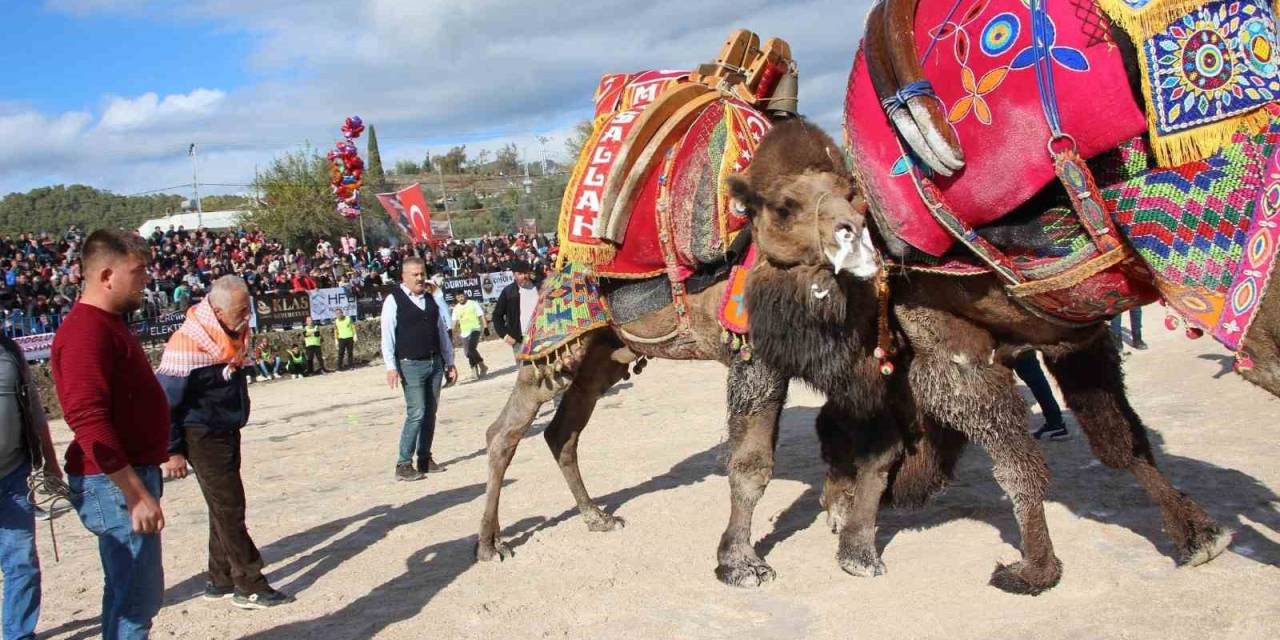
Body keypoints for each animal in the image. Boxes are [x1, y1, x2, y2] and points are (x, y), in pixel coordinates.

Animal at [732, 116, 1239, 593]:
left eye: (851, 197)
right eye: (784, 207)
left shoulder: (1009, 348)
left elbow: (1089, 448)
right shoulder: (1018, 349)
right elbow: (1087, 448)